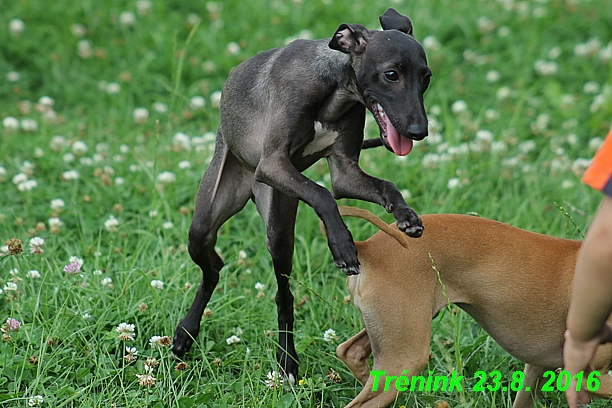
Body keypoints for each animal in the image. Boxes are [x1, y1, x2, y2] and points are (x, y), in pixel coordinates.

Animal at [172, 7, 430, 380]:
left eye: (426, 77)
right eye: (391, 74)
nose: (419, 131)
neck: (334, 89)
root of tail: (251, 189)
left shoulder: (344, 172)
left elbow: (382, 186)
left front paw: (405, 216)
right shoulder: (273, 164)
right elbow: (322, 194)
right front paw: (342, 244)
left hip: (279, 221)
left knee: (280, 294)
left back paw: (286, 360)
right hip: (210, 219)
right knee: (214, 268)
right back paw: (187, 333)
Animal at [334, 207, 612, 408]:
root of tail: (368, 247)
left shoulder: (536, 368)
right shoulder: (585, 377)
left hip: (395, 336)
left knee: (350, 351)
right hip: (407, 354)